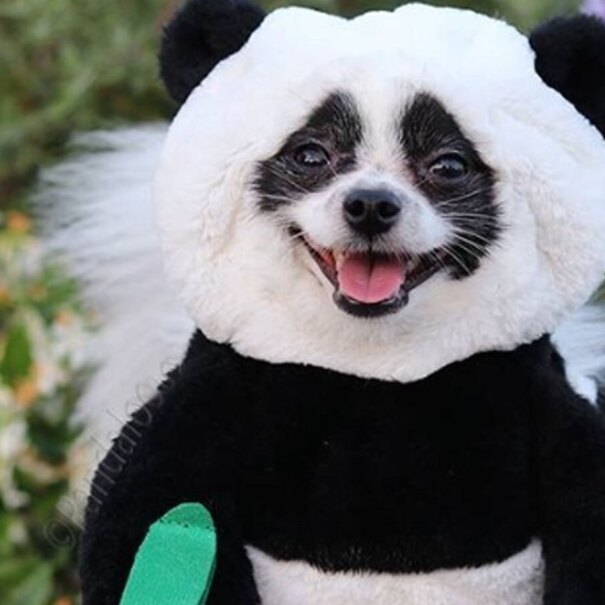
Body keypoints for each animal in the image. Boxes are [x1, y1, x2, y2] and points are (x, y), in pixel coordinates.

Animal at [47, 1, 605, 604]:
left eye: (450, 166)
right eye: (310, 155)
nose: (371, 205)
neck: (376, 366)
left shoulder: (535, 392)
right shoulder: (220, 388)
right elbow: (146, 502)